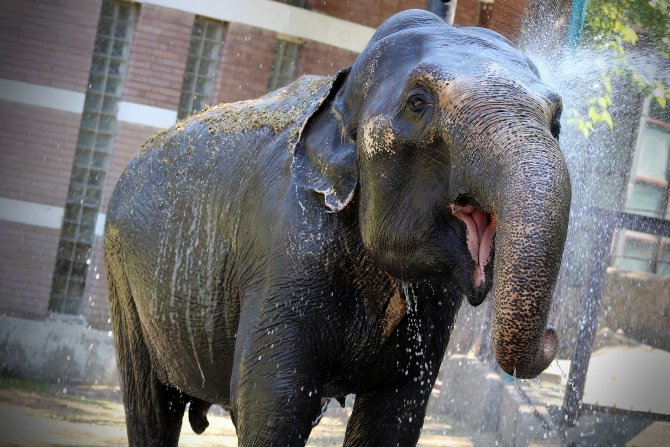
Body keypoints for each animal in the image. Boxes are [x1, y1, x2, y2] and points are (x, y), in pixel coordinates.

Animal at [105, 7, 572, 447]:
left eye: (557, 122)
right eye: (418, 103)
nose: (554, 335)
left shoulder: (435, 307)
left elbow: (395, 414)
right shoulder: (286, 249)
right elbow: (274, 402)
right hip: (121, 274)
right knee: (150, 407)